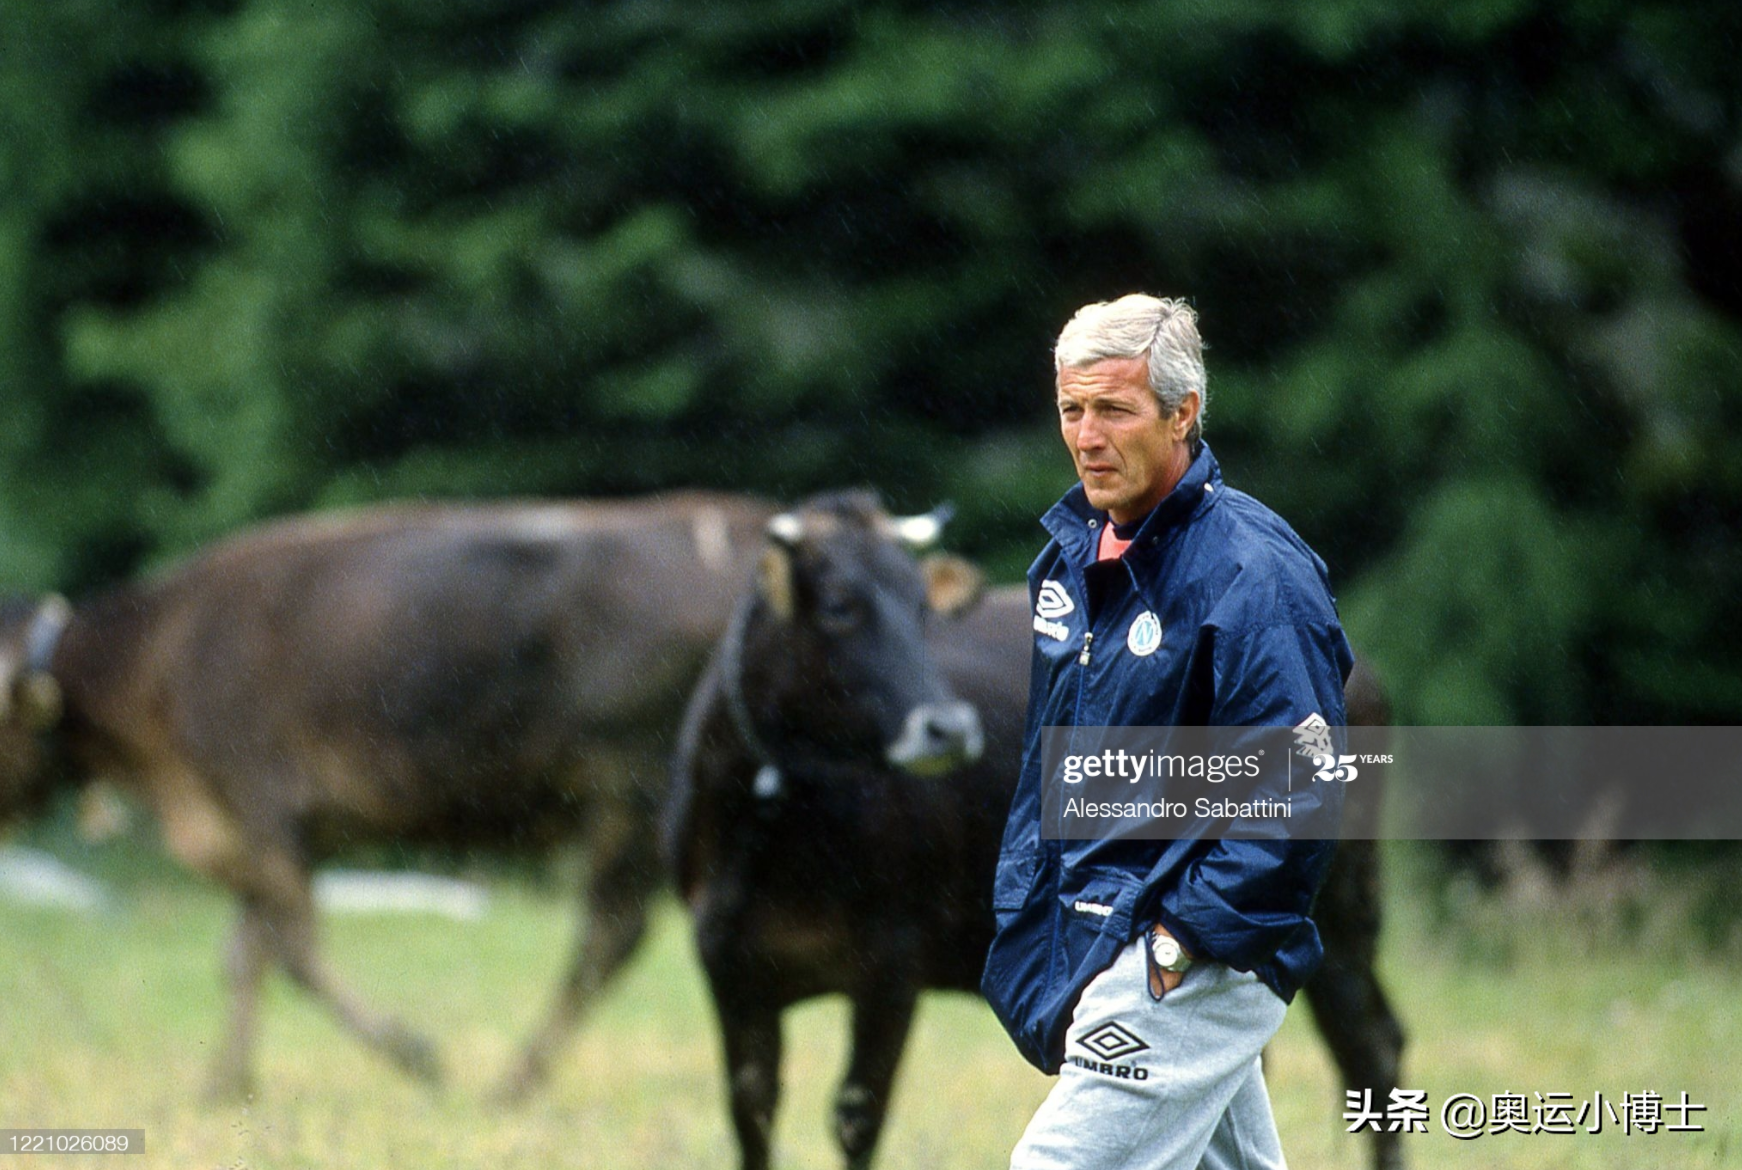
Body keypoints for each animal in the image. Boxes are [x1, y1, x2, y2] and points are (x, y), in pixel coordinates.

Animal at [0, 490, 783, 1100]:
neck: (160, 655)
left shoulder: (263, 819)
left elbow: (293, 952)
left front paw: (417, 1054)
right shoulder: (257, 842)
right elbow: (245, 955)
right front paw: (226, 1084)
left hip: (630, 798)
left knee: (609, 937)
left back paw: (511, 1083)